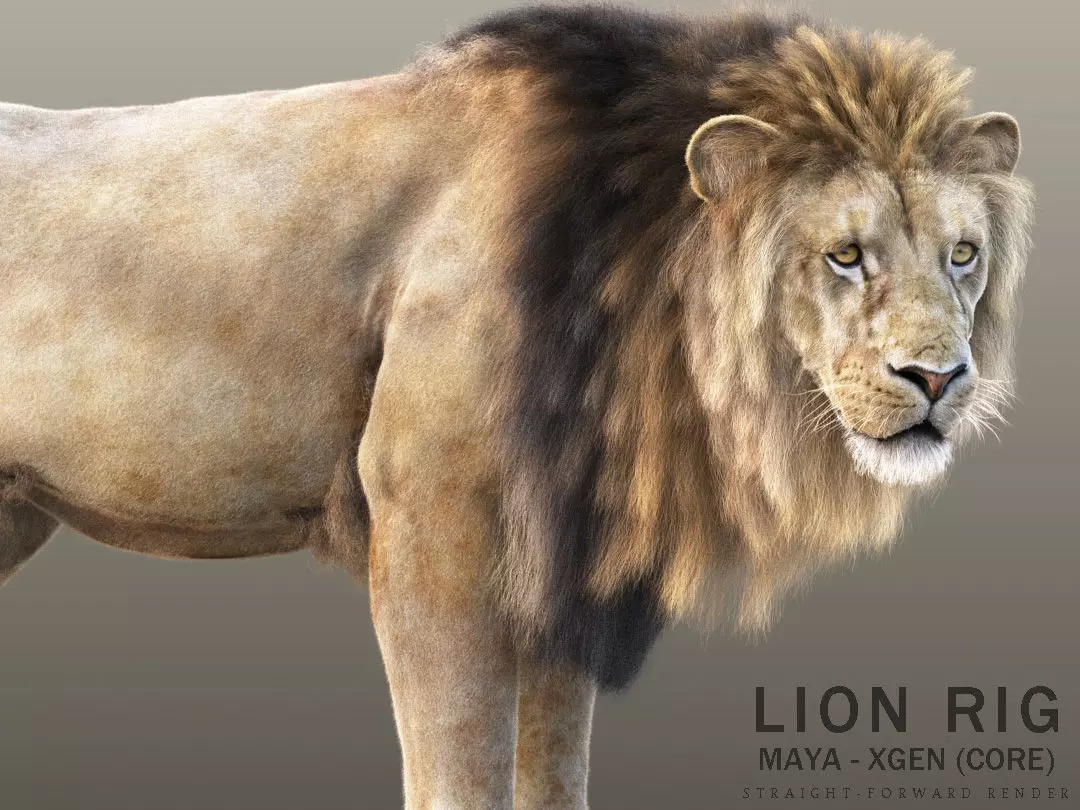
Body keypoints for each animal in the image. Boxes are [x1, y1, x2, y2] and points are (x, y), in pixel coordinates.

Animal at [0, 5, 1033, 808]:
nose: (940, 379)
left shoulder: (565, 563)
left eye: (963, 254)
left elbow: (553, 769)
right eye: (845, 254)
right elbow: (461, 769)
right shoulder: (431, 536)